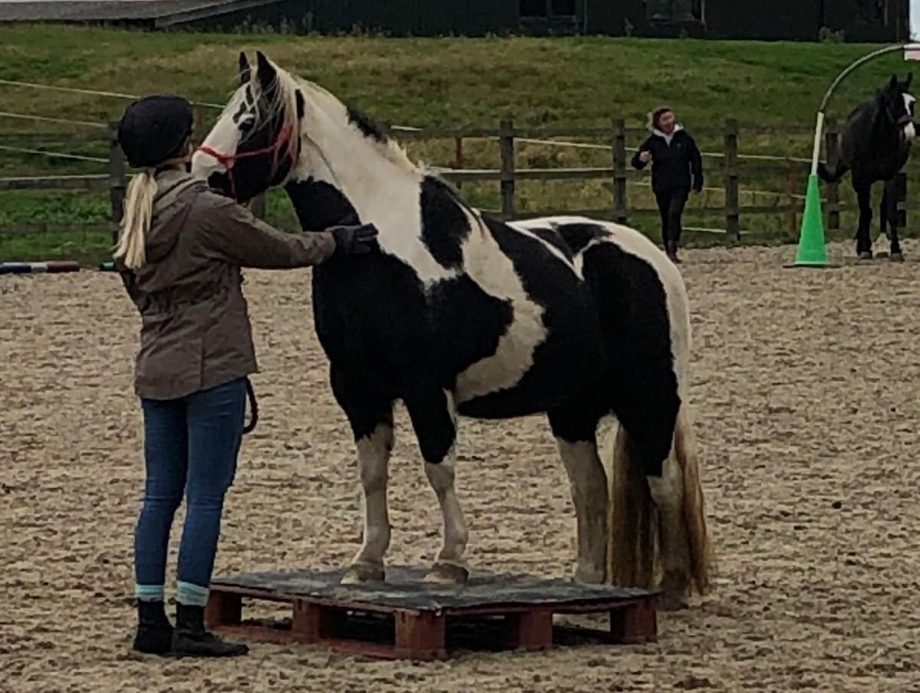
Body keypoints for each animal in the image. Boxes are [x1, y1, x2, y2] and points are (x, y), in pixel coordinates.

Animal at [191, 51, 712, 607]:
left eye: (248, 120)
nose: (201, 177)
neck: (378, 246)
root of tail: (652, 256)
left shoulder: (426, 386)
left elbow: (438, 468)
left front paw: (449, 564)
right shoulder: (357, 387)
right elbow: (371, 473)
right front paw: (366, 564)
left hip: (650, 397)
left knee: (664, 481)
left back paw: (673, 587)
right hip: (572, 408)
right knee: (590, 488)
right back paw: (586, 585)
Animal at [818, 74, 916, 261]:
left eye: (912, 103)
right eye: (895, 102)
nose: (909, 133)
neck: (875, 139)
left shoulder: (891, 176)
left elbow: (890, 212)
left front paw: (895, 250)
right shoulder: (860, 178)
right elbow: (865, 212)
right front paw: (864, 249)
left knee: (882, 207)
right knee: (864, 212)